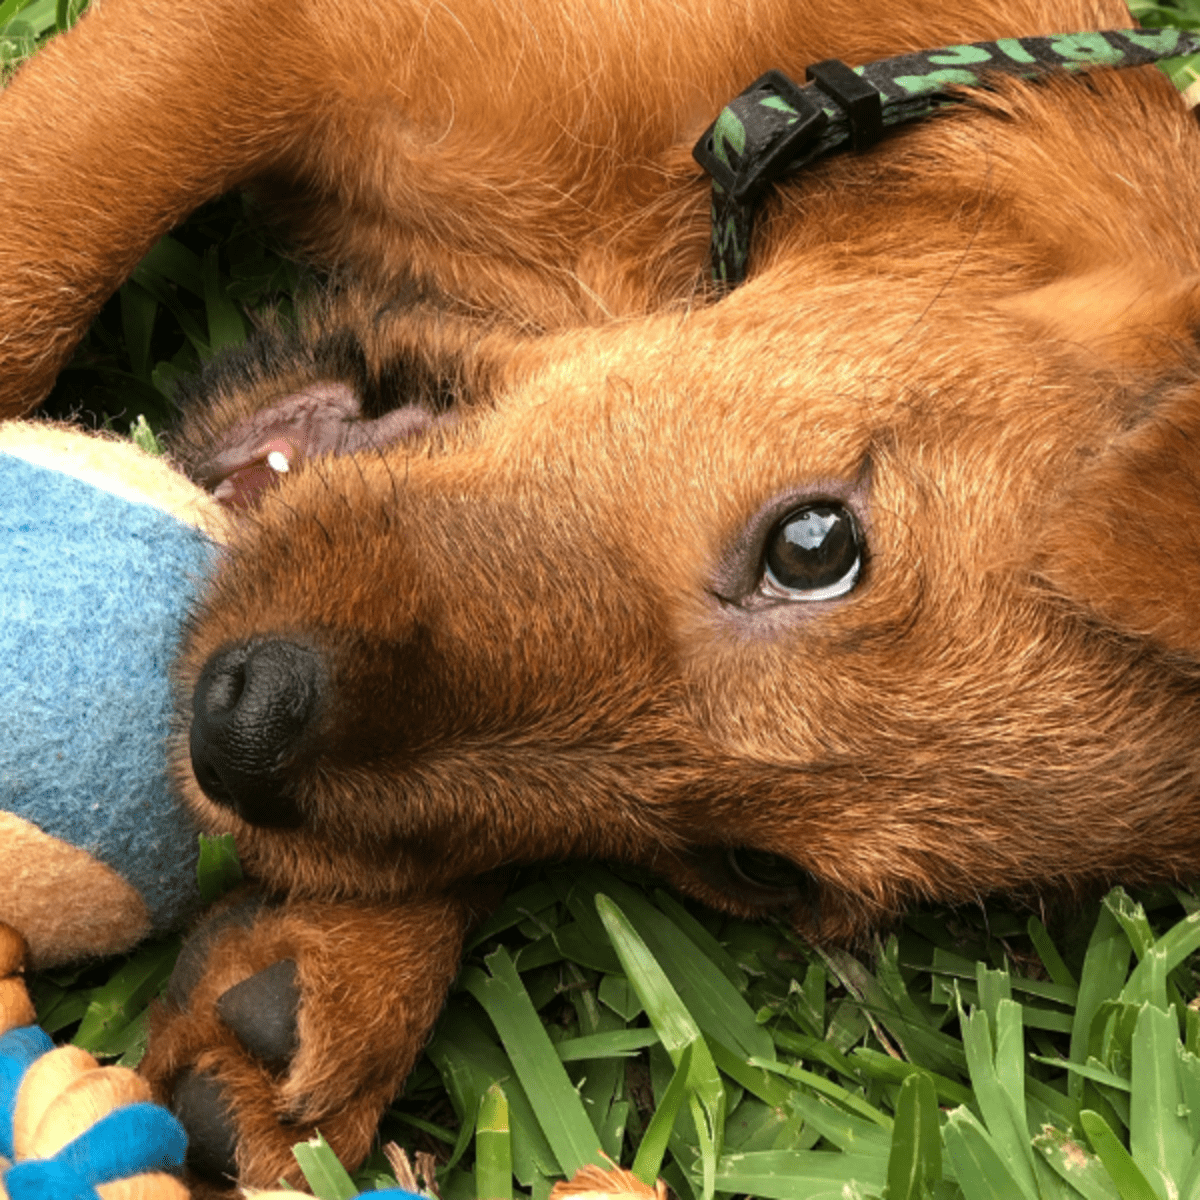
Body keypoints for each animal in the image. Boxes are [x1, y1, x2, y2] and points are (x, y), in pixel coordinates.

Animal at [2, 0, 1200, 1190]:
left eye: (757, 870)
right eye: (815, 545)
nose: (239, 737)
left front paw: (331, 982)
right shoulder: (256, 43)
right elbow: (39, 259)